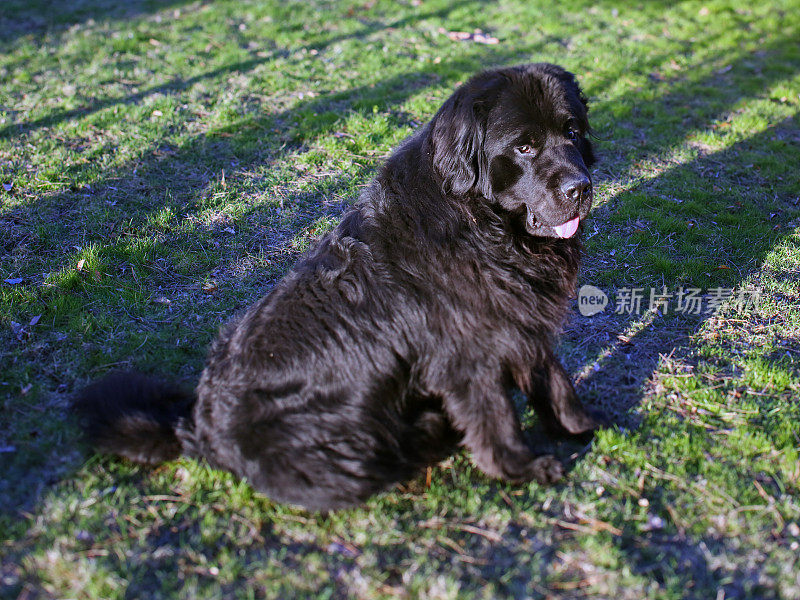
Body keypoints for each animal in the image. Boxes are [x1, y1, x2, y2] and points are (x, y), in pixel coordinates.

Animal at [76, 63, 600, 508]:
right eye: (524, 147)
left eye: (572, 131)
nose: (579, 187)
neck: (482, 225)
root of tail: (196, 426)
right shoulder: (467, 355)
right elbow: (496, 420)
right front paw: (524, 468)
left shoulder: (520, 320)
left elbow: (553, 379)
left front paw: (583, 426)